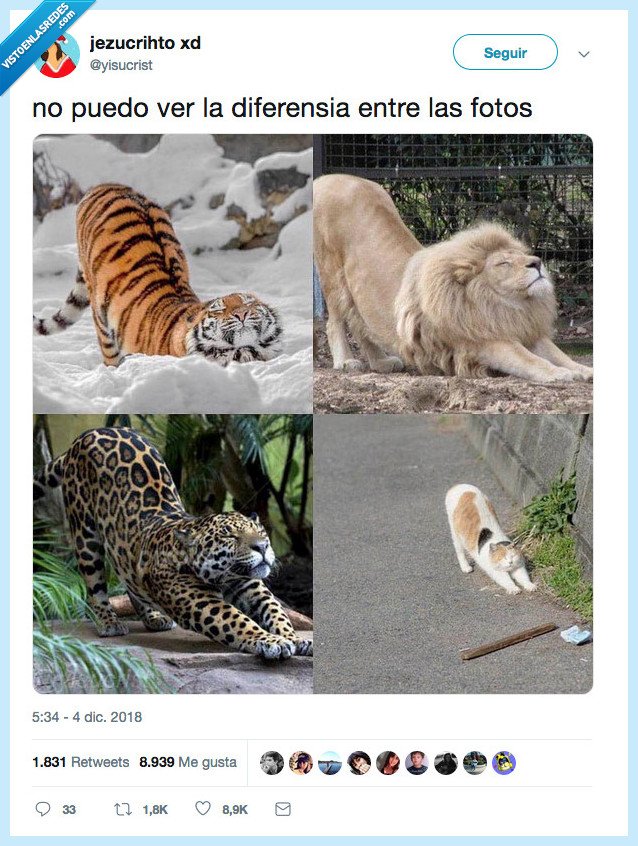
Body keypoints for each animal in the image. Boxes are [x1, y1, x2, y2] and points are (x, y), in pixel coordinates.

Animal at [33, 183, 283, 367]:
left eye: (249, 303)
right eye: (218, 310)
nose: (242, 313)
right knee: (109, 349)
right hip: (100, 312)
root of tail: (107, 184)